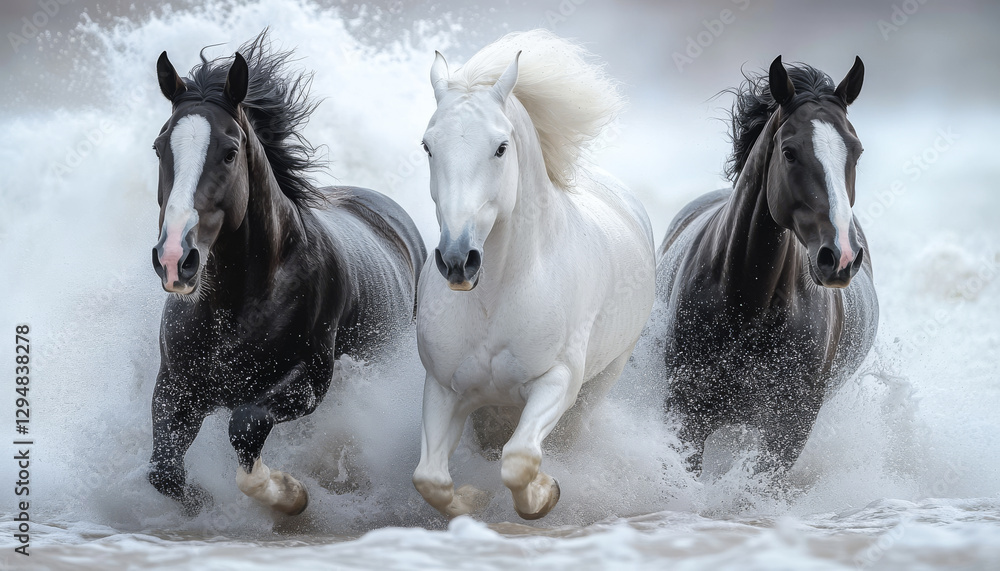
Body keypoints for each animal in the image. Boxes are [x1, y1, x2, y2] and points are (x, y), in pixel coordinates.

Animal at [147, 32, 425, 516]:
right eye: (159, 147)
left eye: (230, 152)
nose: (175, 258)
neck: (234, 305)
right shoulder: (176, 388)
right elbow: (163, 471)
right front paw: (202, 502)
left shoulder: (308, 381)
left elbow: (245, 425)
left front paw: (290, 494)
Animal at [411, 30, 656, 520]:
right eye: (429, 146)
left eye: (501, 148)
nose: (457, 259)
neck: (496, 296)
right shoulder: (444, 389)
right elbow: (430, 479)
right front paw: (472, 499)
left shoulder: (555, 382)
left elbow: (519, 459)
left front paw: (545, 496)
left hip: (602, 381)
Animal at [657, 56, 879, 476]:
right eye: (789, 152)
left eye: (856, 152)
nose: (840, 256)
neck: (750, 301)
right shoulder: (685, 413)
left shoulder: (788, 430)